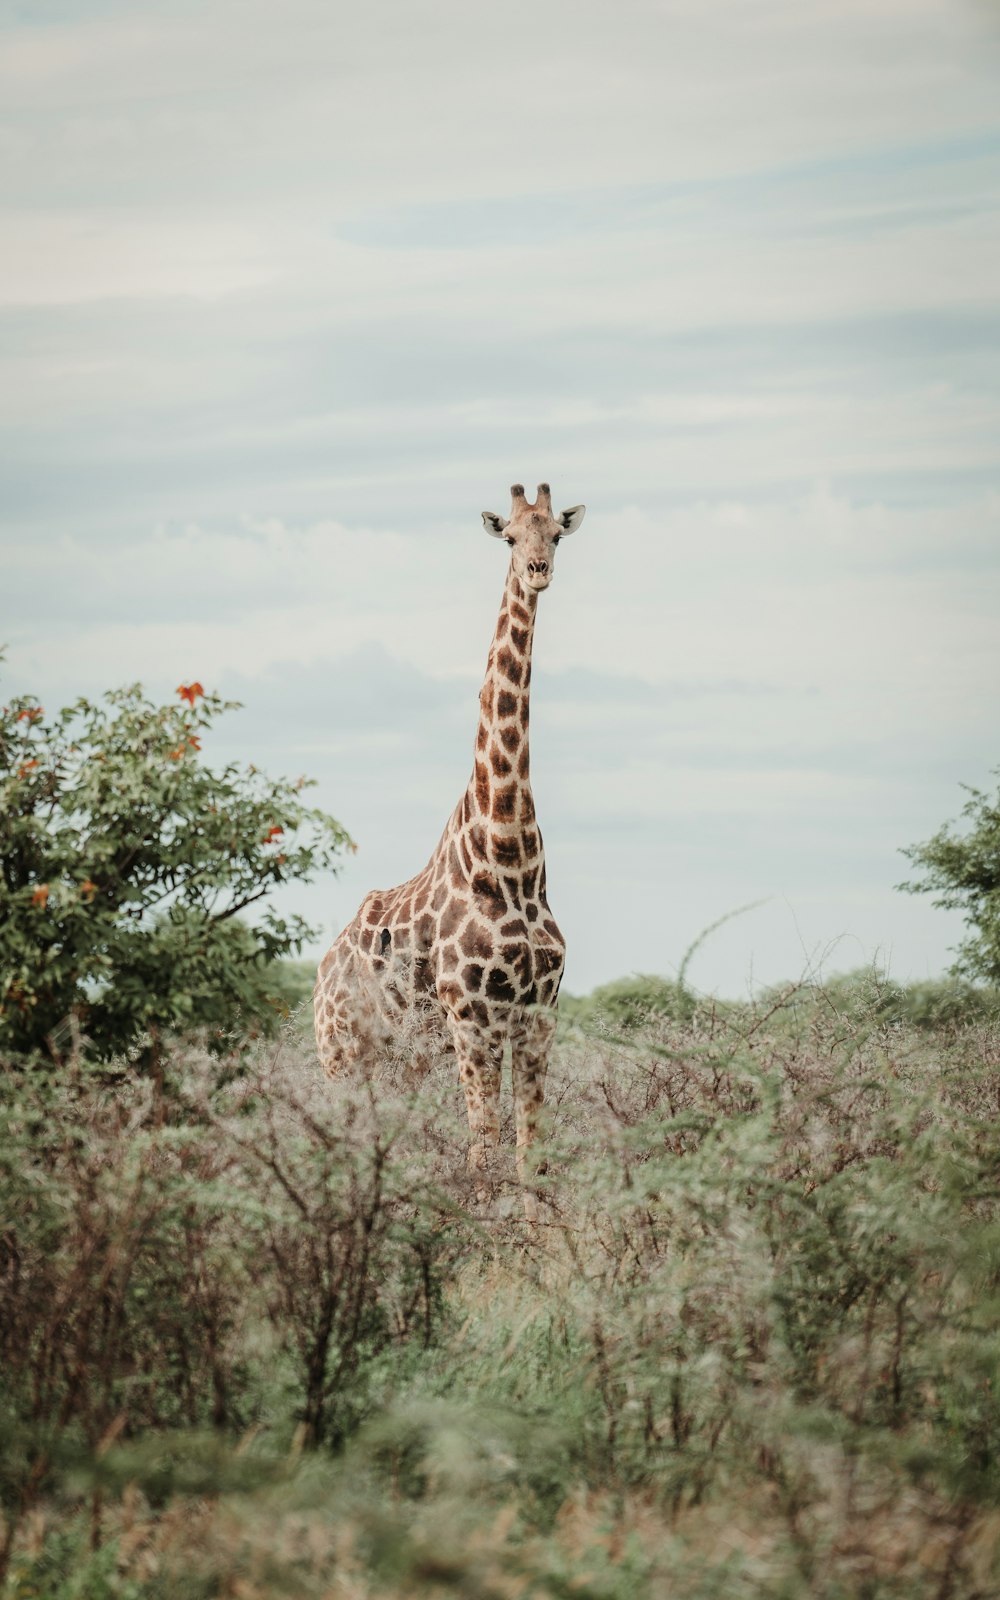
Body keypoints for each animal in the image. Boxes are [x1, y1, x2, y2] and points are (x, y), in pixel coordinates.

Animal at [313, 480, 585, 1216]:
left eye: (557, 533)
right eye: (510, 537)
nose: (538, 572)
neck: (510, 856)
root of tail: (322, 968)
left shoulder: (538, 1015)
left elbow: (531, 1157)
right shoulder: (472, 1018)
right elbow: (483, 1158)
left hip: (400, 1058)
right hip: (340, 1052)